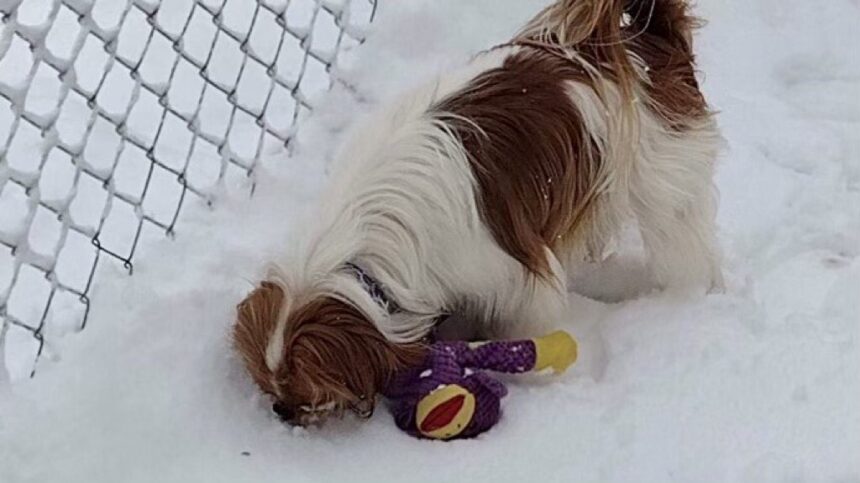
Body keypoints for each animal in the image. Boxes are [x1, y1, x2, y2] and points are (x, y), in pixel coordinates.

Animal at [232, 0, 724, 426]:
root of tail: (648, 41)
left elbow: (524, 324)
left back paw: (684, 297)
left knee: (684, 241)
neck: (363, 239)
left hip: (663, 183)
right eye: (270, 386)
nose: (281, 412)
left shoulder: (517, 277)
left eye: (307, 391)